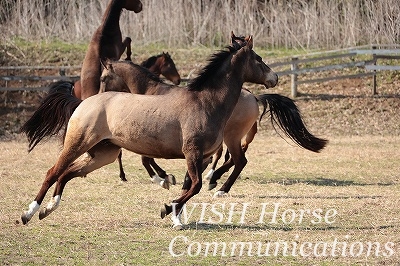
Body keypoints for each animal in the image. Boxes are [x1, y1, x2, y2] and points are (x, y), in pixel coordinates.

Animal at [21, 35, 278, 229]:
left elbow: (188, 186)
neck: (206, 102)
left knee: (67, 174)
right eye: (258, 59)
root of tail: (84, 101)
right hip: (78, 143)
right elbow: (193, 185)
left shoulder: (202, 157)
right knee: (53, 172)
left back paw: (48, 209)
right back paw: (29, 213)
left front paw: (175, 216)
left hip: (103, 154)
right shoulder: (192, 153)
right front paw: (166, 204)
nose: (274, 77)